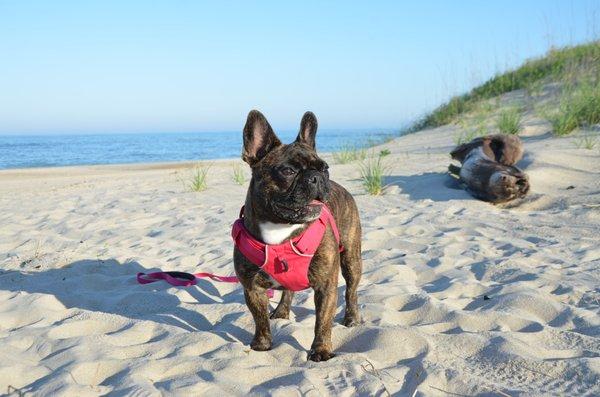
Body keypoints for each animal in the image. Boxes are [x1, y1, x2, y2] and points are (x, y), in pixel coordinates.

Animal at [234, 110, 360, 360]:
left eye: (325, 167)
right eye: (288, 171)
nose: (318, 177)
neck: (280, 228)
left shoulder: (326, 286)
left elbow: (323, 321)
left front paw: (320, 350)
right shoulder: (252, 287)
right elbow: (259, 318)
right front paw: (262, 344)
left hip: (351, 259)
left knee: (351, 290)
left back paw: (351, 318)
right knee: (288, 292)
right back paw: (282, 312)